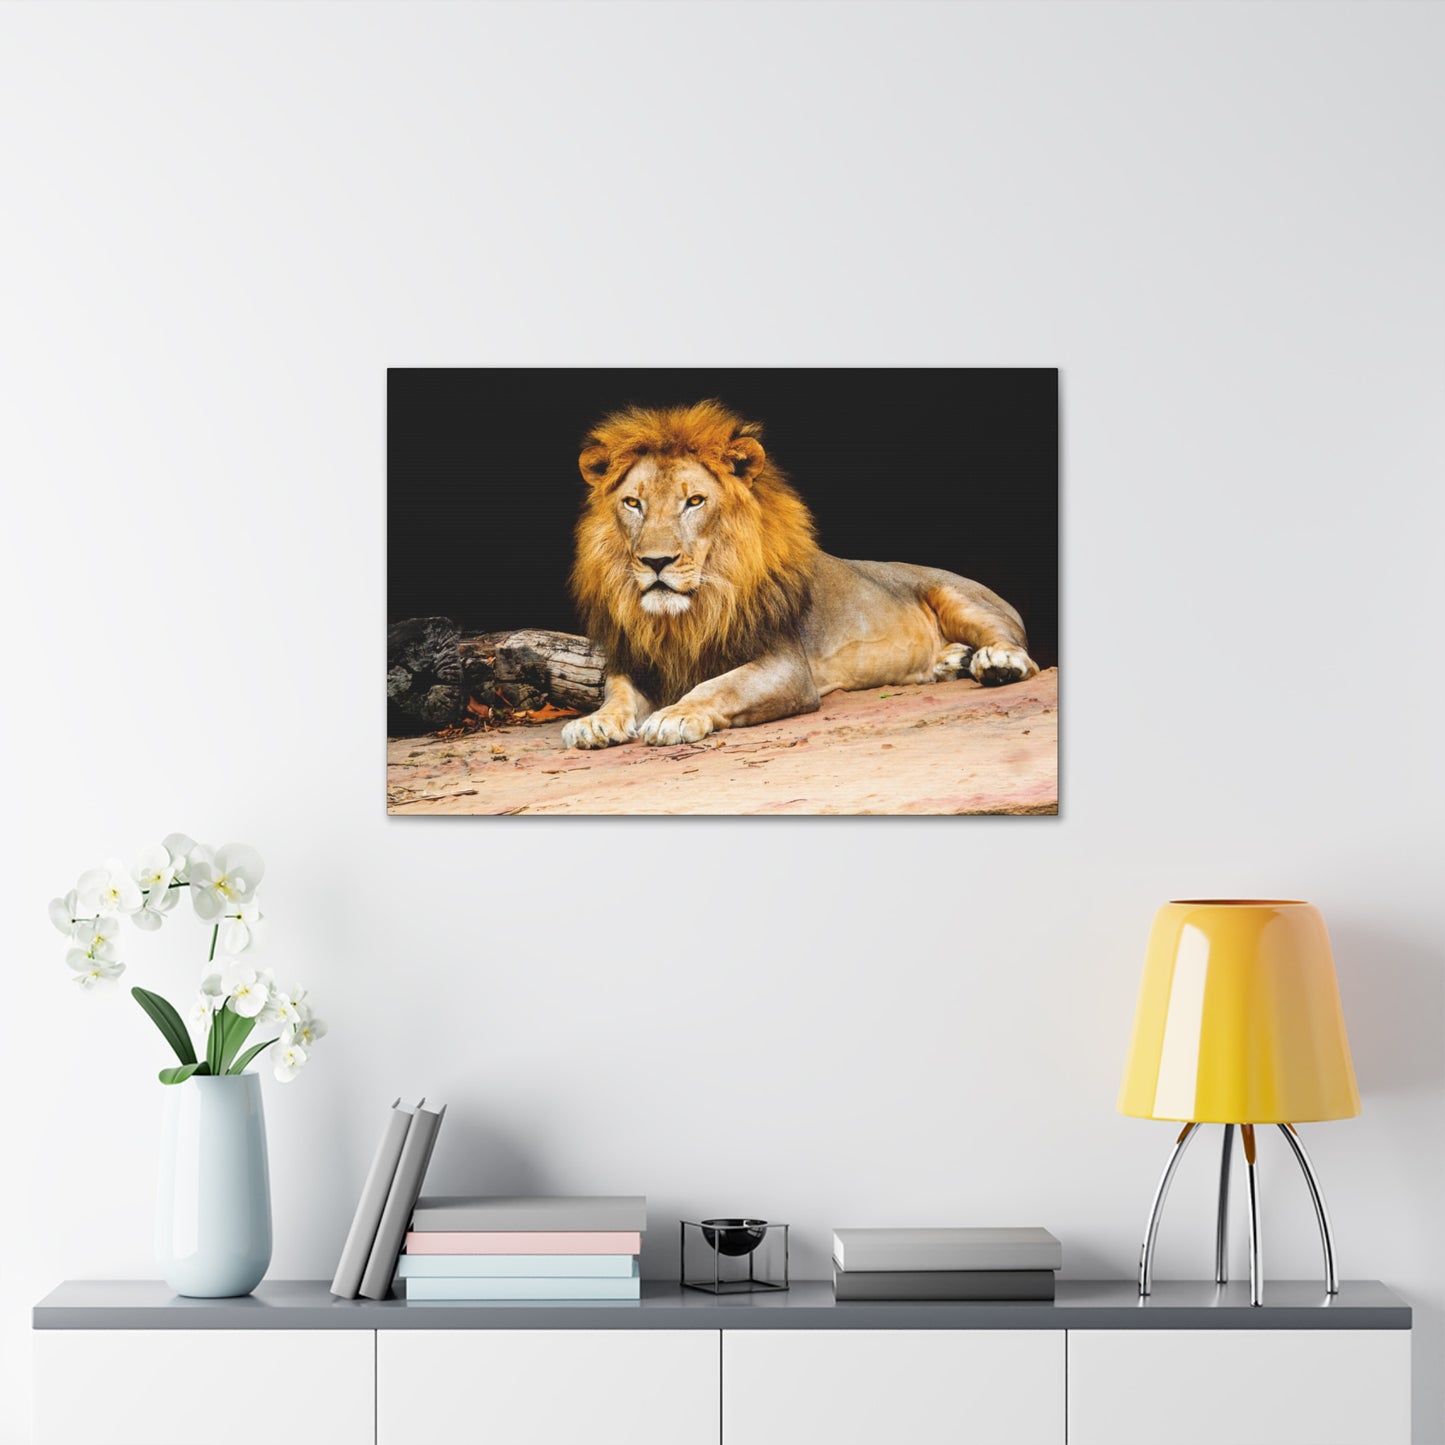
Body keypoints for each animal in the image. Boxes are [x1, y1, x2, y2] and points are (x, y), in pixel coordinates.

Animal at [561, 400, 1039, 749]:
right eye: (633, 503)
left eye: (694, 501)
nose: (656, 561)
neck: (688, 615)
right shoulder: (635, 661)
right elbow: (617, 693)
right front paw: (595, 723)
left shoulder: (786, 666)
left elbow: (721, 685)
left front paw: (675, 715)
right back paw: (949, 661)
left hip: (958, 596)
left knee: (1017, 646)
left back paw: (995, 663)